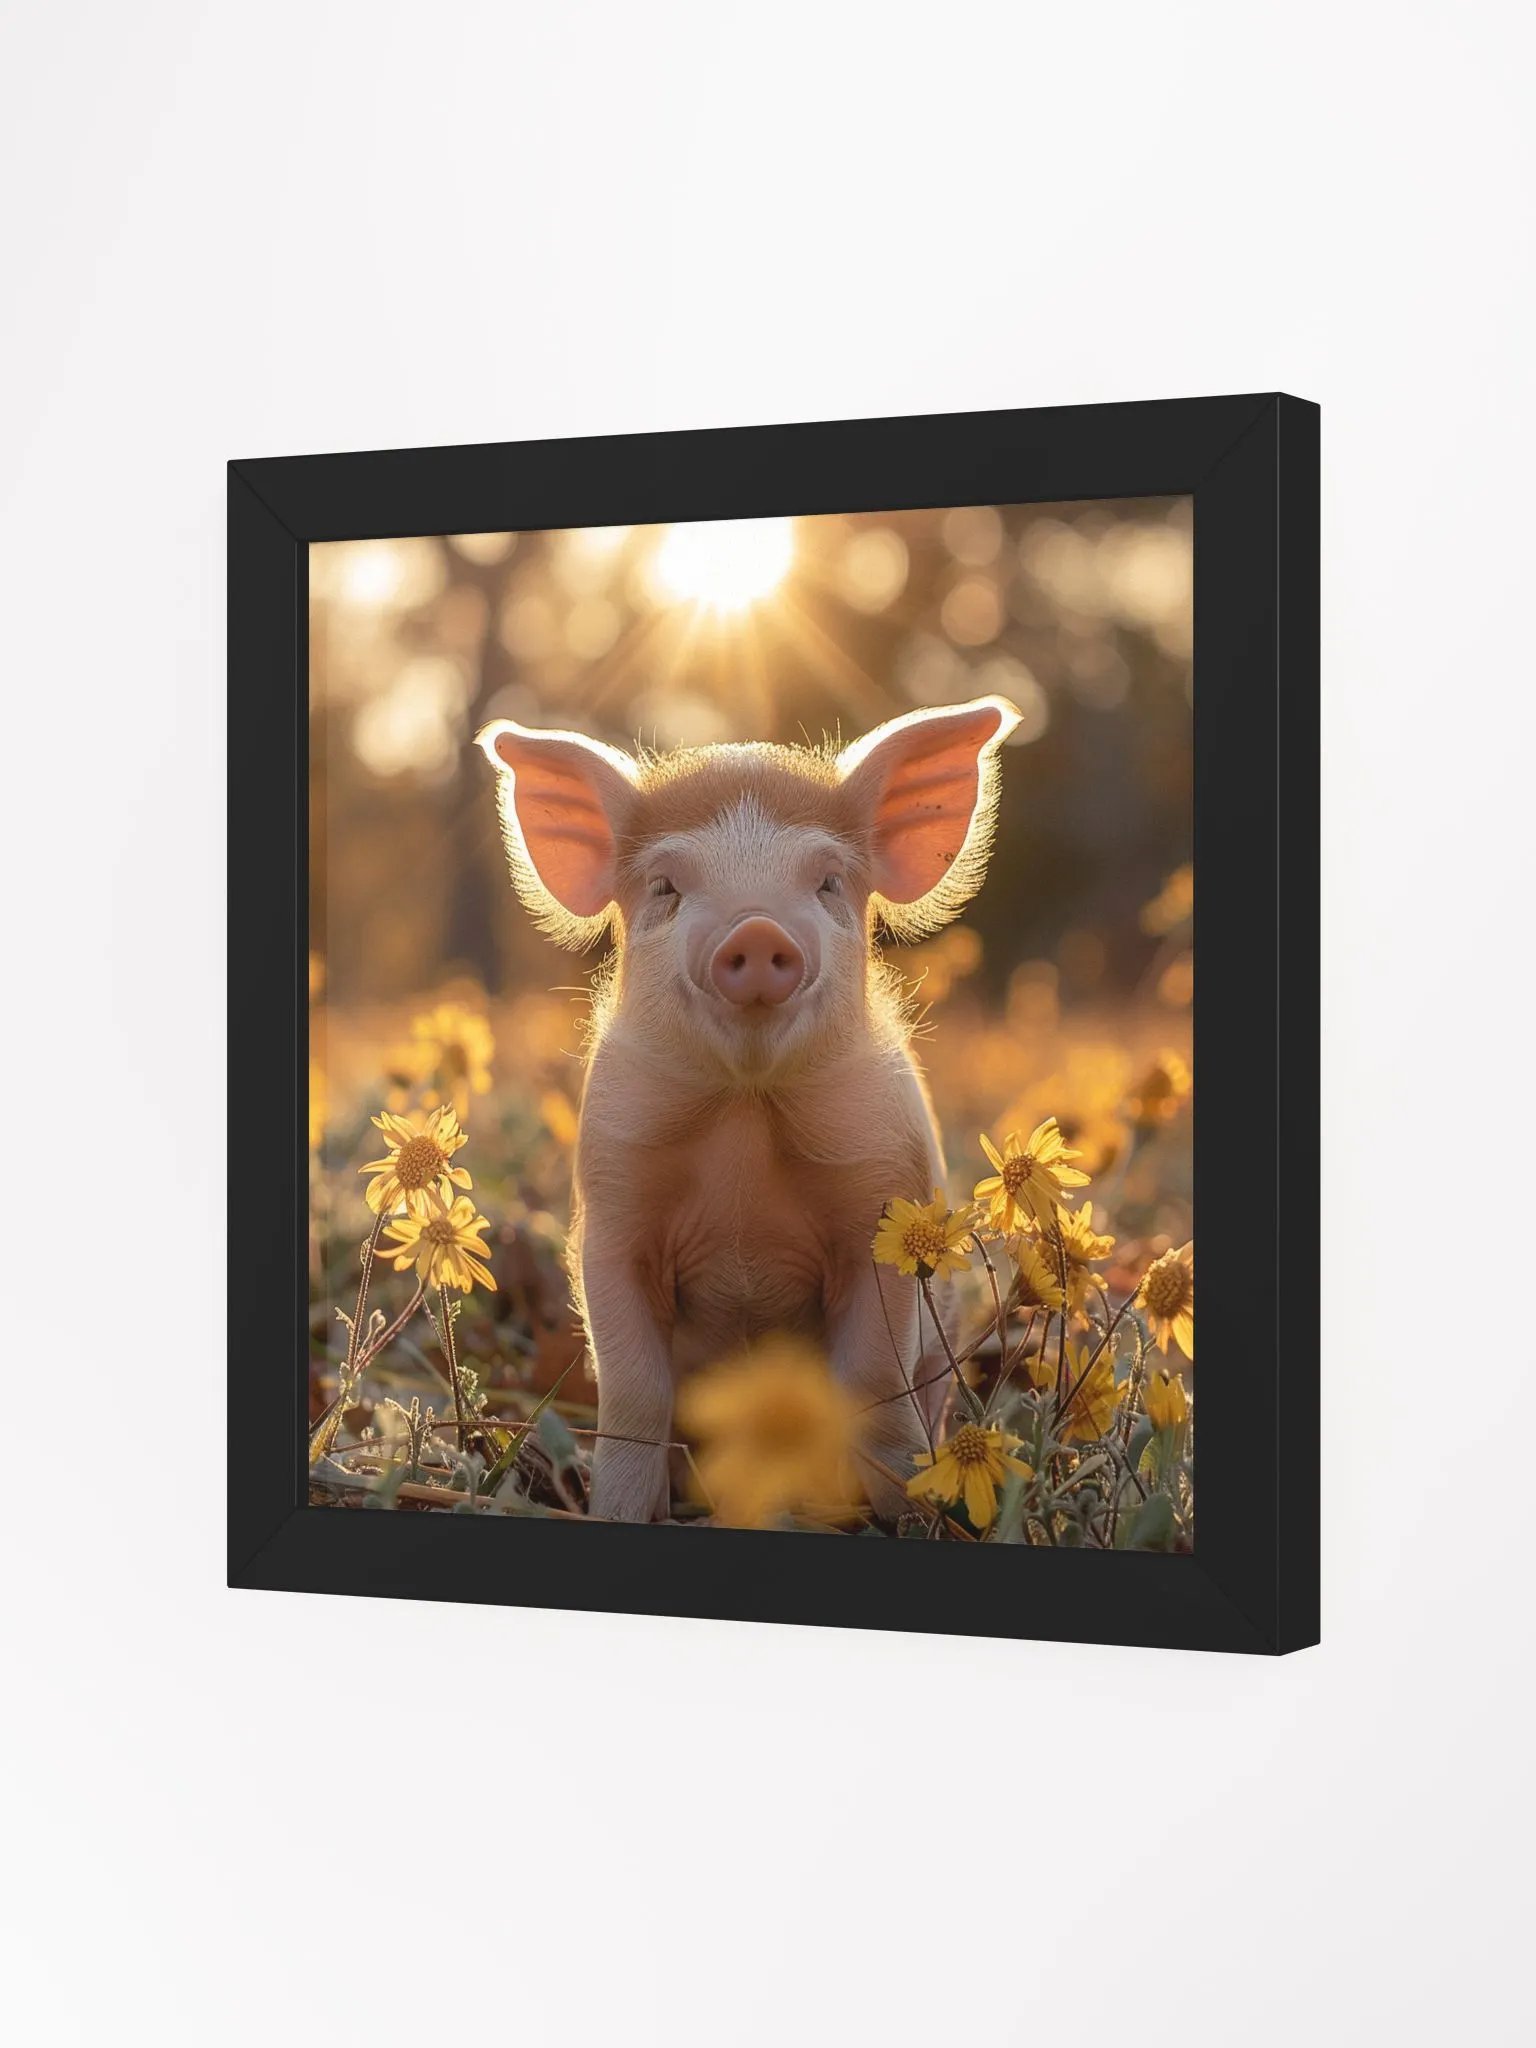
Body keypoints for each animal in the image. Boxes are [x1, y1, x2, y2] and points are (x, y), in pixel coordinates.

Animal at [477, 693, 1021, 1523]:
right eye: (666, 887)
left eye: (828, 881)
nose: (760, 930)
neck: (744, 1116)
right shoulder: (611, 1218)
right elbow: (635, 1394)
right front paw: (621, 1512)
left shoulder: (885, 1204)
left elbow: (873, 1385)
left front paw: (906, 1515)